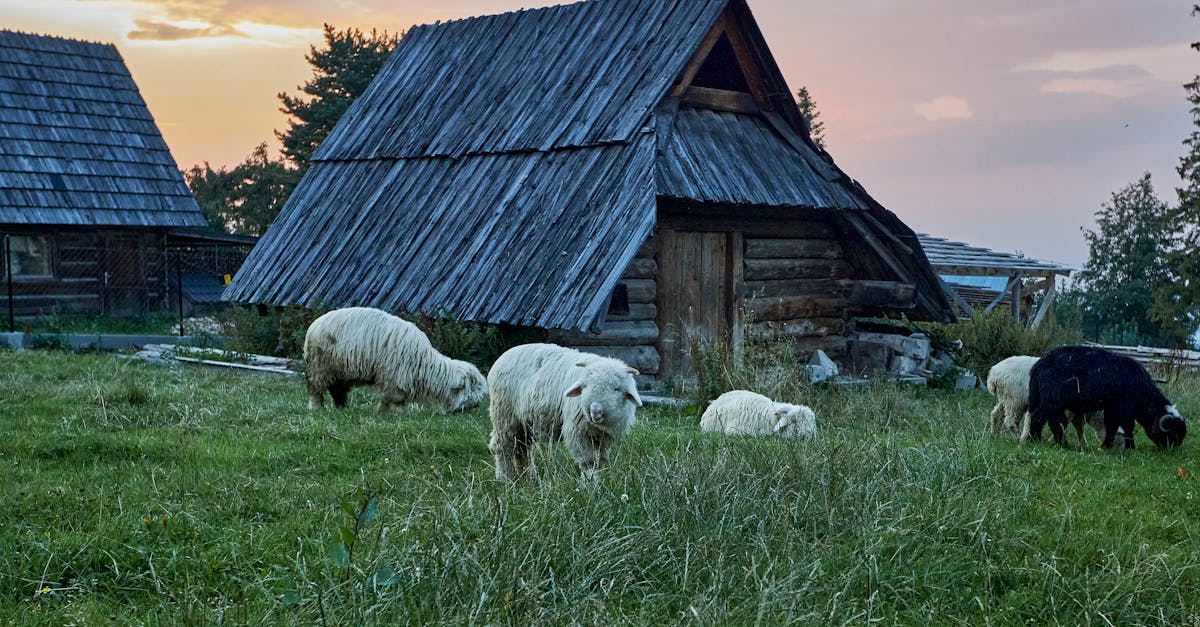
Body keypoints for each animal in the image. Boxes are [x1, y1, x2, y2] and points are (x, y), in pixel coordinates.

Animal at [304, 306, 487, 410]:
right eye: (470, 394)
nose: (475, 408)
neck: (426, 366)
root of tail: (314, 325)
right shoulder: (394, 375)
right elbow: (394, 398)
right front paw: (387, 412)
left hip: (340, 370)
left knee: (338, 390)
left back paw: (342, 408)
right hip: (320, 365)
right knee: (316, 389)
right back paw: (316, 409)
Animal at [487, 341, 643, 478]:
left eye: (617, 388)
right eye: (585, 386)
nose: (595, 411)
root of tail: (505, 354)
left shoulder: (603, 437)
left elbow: (598, 461)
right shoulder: (578, 432)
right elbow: (588, 462)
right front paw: (589, 484)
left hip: (524, 423)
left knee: (522, 449)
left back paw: (529, 477)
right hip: (504, 415)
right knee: (503, 447)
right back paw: (505, 478)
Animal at [1027, 343, 1185, 446]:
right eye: (1171, 433)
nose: (1172, 449)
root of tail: (1037, 366)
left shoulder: (1112, 407)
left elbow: (1111, 425)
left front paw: (1106, 446)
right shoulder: (1124, 407)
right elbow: (1128, 426)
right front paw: (1130, 447)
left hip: (1050, 400)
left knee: (1055, 421)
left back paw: (1058, 442)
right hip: (1052, 399)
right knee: (1039, 416)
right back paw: (1035, 440)